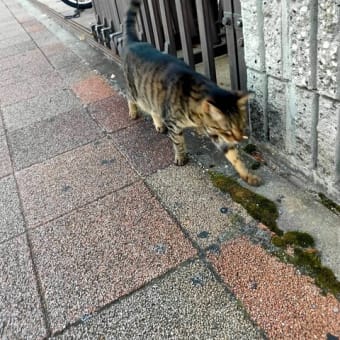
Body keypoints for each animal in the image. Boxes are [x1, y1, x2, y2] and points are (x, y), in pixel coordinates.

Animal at [123, 0, 262, 186]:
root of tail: (135, 42)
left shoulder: (215, 134)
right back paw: (133, 112)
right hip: (136, 91)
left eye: (241, 126)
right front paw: (180, 157)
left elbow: (234, 157)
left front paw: (246, 175)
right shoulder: (174, 124)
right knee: (130, 97)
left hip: (151, 94)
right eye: (228, 131)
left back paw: (158, 124)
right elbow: (178, 143)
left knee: (153, 108)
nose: (239, 139)